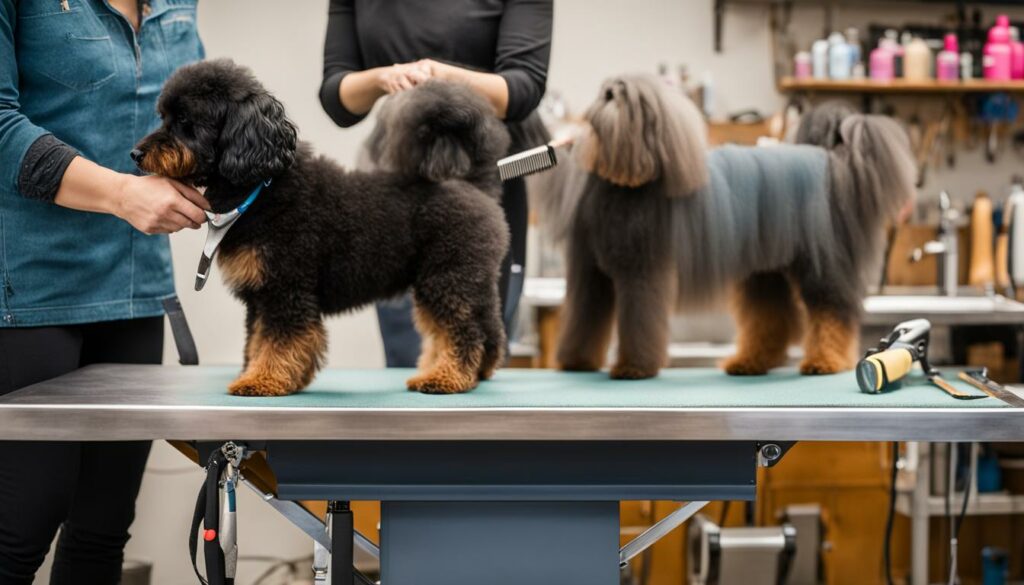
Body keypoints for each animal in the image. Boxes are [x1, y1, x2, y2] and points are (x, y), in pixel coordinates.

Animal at [132, 59, 507, 395]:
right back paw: (469, 371)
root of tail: (472, 183)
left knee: (463, 330)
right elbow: (256, 339)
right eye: (164, 117)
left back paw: (446, 376)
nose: (135, 154)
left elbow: (279, 339)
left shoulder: (286, 288)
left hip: (447, 277)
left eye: (186, 121)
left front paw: (261, 380)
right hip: (462, 280)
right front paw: (263, 373)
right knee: (486, 328)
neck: (262, 185)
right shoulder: (261, 295)